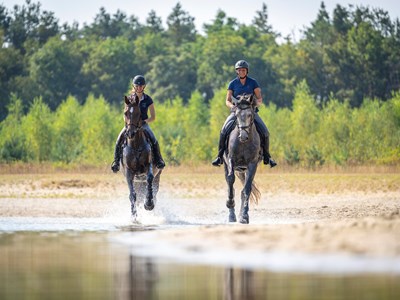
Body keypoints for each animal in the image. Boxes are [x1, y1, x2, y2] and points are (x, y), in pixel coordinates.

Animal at [223, 95, 260, 224]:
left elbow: (247, 189)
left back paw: (240, 215)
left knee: (243, 190)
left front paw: (244, 216)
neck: (243, 143)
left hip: (244, 169)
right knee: (231, 185)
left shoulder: (252, 164)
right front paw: (230, 203)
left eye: (250, 114)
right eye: (237, 114)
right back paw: (232, 216)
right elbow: (230, 180)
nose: (243, 136)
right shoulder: (230, 160)